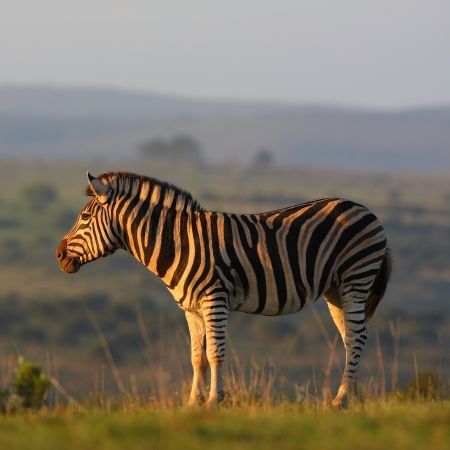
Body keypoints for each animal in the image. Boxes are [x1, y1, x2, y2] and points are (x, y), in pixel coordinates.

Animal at [57, 171, 390, 410]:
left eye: (84, 218)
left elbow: (215, 353)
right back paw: (352, 397)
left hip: (355, 279)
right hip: (335, 289)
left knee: (357, 338)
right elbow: (196, 357)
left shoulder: (213, 299)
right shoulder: (190, 308)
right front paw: (192, 404)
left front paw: (213, 402)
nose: (58, 256)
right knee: (350, 338)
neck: (177, 243)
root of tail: (365, 209)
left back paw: (342, 399)